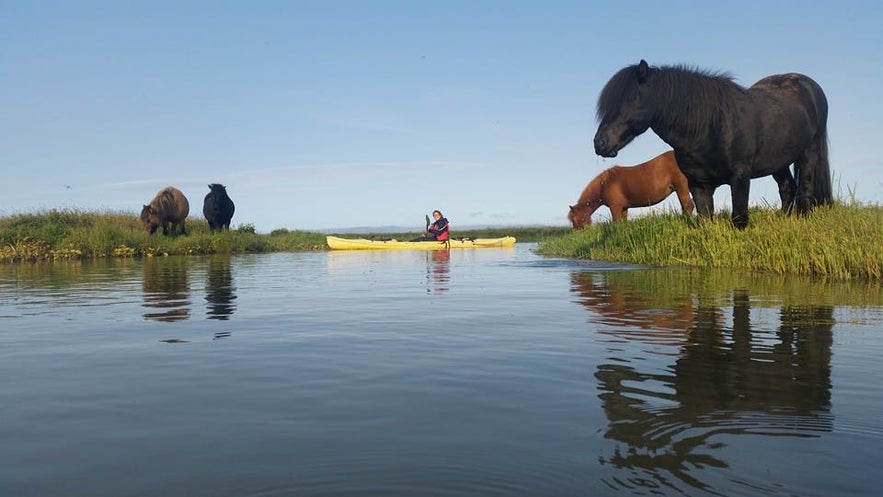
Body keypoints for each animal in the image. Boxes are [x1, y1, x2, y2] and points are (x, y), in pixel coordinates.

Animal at [568, 149, 696, 229]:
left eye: (574, 219)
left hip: (681, 187)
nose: (577, 233)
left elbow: (617, 223)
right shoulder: (624, 208)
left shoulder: (615, 207)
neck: (604, 184)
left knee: (688, 206)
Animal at [592, 60, 832, 229]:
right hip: (777, 161)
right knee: (787, 187)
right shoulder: (698, 184)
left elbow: (739, 219)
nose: (599, 143)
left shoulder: (740, 177)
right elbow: (705, 221)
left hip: (809, 152)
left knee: (804, 190)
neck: (711, 126)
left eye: (631, 99)